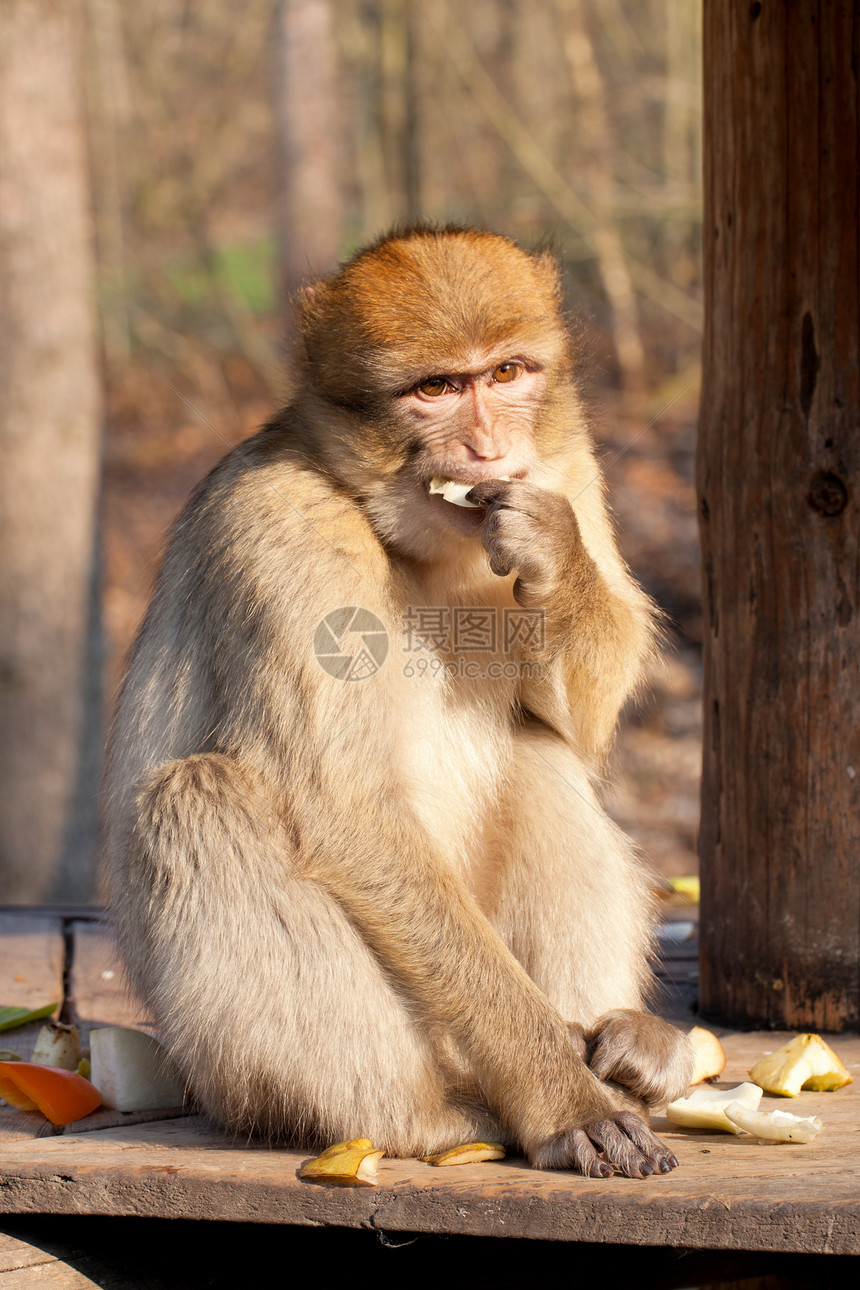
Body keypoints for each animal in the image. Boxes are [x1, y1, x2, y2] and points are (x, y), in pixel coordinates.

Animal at [104, 224, 691, 1181]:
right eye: (436, 389)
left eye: (506, 373)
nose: (488, 451)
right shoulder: (284, 526)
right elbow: (348, 812)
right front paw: (560, 1096)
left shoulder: (568, 465)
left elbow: (581, 727)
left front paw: (554, 554)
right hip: (253, 1069)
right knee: (198, 797)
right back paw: (426, 1116)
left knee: (539, 752)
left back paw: (622, 1048)